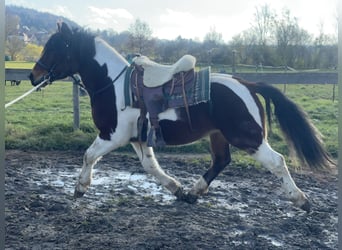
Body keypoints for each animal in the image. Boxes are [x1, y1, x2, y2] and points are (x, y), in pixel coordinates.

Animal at [29, 23, 334, 213]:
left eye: (54, 47)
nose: (33, 75)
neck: (113, 84)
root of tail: (247, 84)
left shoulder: (112, 135)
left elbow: (89, 155)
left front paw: (80, 188)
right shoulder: (138, 140)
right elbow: (152, 168)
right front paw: (177, 189)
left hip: (248, 138)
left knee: (277, 162)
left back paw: (301, 200)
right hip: (219, 136)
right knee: (221, 161)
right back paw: (193, 191)